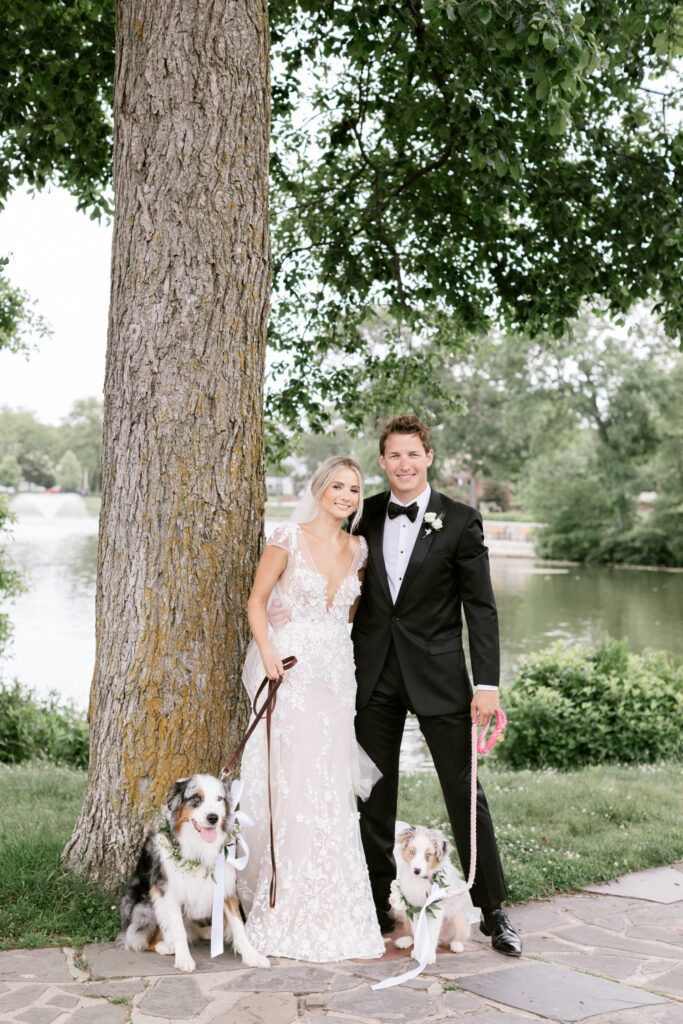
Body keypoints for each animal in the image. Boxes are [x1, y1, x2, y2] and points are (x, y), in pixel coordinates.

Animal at [389, 823, 475, 958]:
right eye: (412, 852)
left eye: (428, 855)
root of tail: (443, 939)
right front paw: (418, 952)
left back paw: (456, 946)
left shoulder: (436, 907)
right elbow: (417, 932)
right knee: (412, 935)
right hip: (407, 919)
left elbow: (432, 933)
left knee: (457, 937)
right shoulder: (413, 907)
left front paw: (428, 956)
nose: (416, 870)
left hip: (459, 918)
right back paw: (403, 941)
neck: (420, 880)